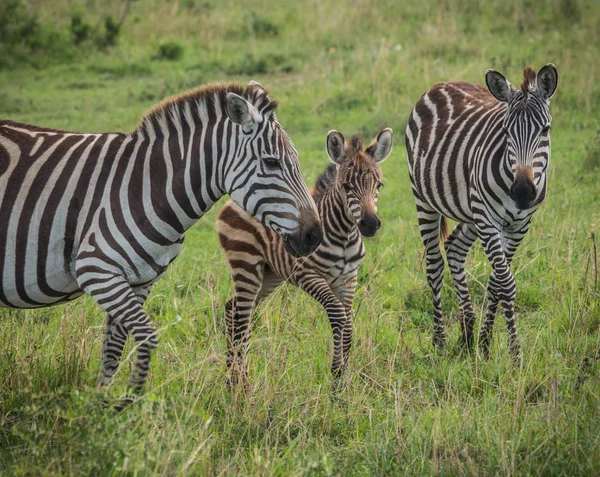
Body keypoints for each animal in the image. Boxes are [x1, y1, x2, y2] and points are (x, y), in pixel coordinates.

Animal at [0, 80, 324, 400]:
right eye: (271, 163)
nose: (315, 236)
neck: (146, 188)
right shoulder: (96, 270)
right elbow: (146, 336)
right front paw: (124, 403)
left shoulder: (139, 281)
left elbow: (113, 349)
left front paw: (102, 406)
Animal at [218, 127, 392, 386]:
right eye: (346, 186)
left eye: (379, 185)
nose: (370, 224)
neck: (344, 237)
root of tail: (232, 201)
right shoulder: (307, 274)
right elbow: (338, 315)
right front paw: (336, 377)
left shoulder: (349, 279)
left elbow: (349, 323)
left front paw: (344, 379)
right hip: (246, 265)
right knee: (240, 316)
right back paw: (239, 380)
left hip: (269, 275)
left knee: (233, 310)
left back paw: (232, 377)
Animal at [406, 65, 560, 358]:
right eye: (506, 131)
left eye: (545, 130)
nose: (522, 192)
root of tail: (442, 84)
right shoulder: (488, 221)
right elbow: (506, 283)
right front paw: (515, 354)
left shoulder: (520, 225)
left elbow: (497, 282)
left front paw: (485, 343)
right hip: (426, 201)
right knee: (434, 265)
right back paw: (440, 340)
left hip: (471, 212)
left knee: (454, 248)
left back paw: (467, 334)